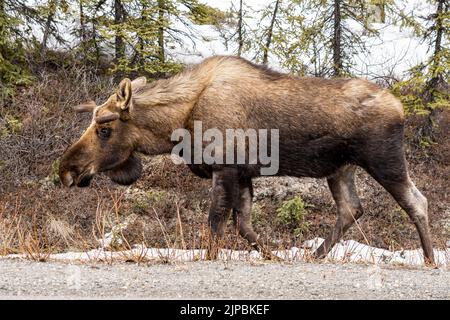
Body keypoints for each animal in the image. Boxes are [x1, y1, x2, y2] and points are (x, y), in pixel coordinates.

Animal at [59, 55, 436, 264]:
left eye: (104, 128)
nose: (67, 170)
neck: (179, 122)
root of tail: (401, 108)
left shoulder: (225, 167)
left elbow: (215, 223)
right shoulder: (243, 174)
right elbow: (244, 226)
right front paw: (273, 255)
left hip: (384, 160)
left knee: (417, 201)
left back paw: (430, 259)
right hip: (340, 169)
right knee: (351, 209)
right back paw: (316, 255)